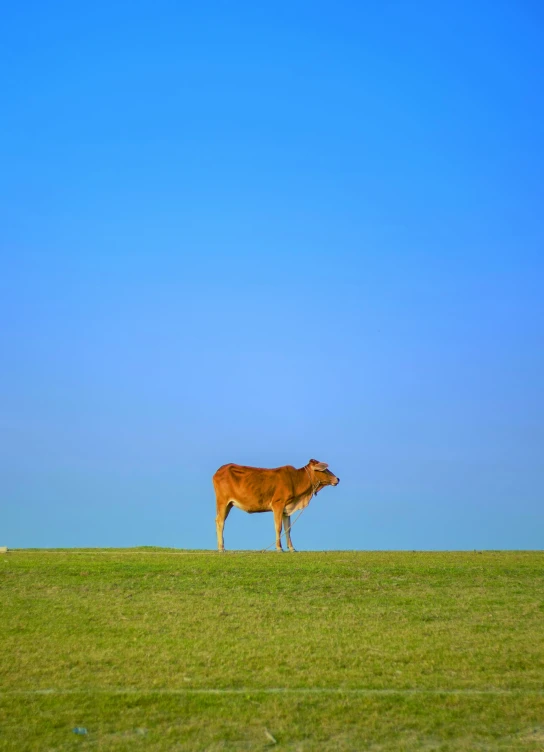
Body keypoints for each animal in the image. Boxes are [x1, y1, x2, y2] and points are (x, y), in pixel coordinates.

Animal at [212, 458, 340, 552]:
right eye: (324, 470)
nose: (337, 479)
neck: (296, 480)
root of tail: (219, 470)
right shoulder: (278, 504)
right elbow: (278, 527)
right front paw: (279, 548)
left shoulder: (286, 510)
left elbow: (288, 528)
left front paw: (292, 548)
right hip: (223, 502)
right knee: (220, 521)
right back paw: (221, 548)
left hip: (229, 504)